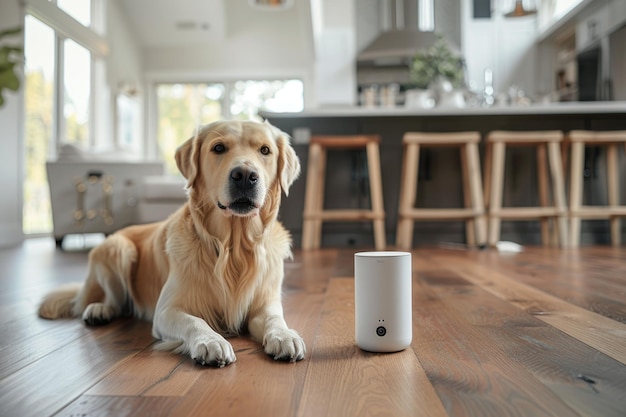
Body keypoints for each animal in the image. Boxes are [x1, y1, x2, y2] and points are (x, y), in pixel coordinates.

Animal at [37, 118, 304, 366]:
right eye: (218, 148)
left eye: (265, 150)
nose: (246, 175)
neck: (233, 248)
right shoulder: (166, 311)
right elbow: (195, 321)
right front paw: (211, 341)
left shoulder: (265, 302)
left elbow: (274, 318)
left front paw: (285, 335)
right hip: (118, 249)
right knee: (110, 300)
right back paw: (98, 309)